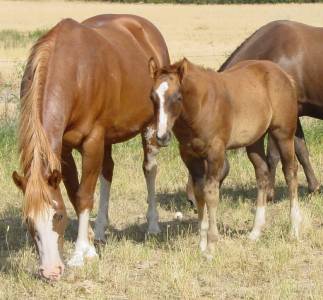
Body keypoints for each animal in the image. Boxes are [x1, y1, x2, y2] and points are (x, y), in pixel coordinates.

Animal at [12, 14, 170, 282]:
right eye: (28, 221)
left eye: (58, 215)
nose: (51, 272)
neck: (75, 73)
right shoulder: (64, 150)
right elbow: (75, 195)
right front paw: (88, 245)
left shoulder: (92, 140)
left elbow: (84, 195)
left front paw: (79, 254)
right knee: (107, 171)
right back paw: (100, 231)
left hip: (149, 126)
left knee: (149, 169)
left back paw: (152, 226)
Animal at [149, 58, 302, 258]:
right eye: (152, 97)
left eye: (177, 97)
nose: (161, 137)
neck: (200, 106)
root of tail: (285, 75)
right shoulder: (190, 155)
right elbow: (199, 192)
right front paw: (201, 244)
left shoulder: (215, 152)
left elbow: (211, 193)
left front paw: (211, 246)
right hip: (255, 141)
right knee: (262, 174)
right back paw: (255, 232)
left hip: (283, 134)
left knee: (290, 172)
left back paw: (294, 229)